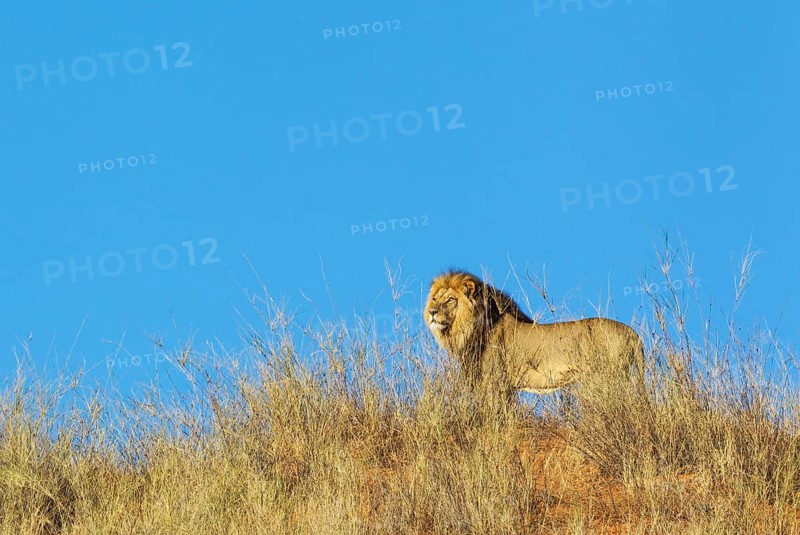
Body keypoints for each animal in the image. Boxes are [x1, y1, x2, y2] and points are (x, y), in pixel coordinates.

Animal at [425, 269, 645, 397]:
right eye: (435, 299)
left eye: (450, 300)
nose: (432, 312)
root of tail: (633, 334)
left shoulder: (495, 383)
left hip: (607, 378)